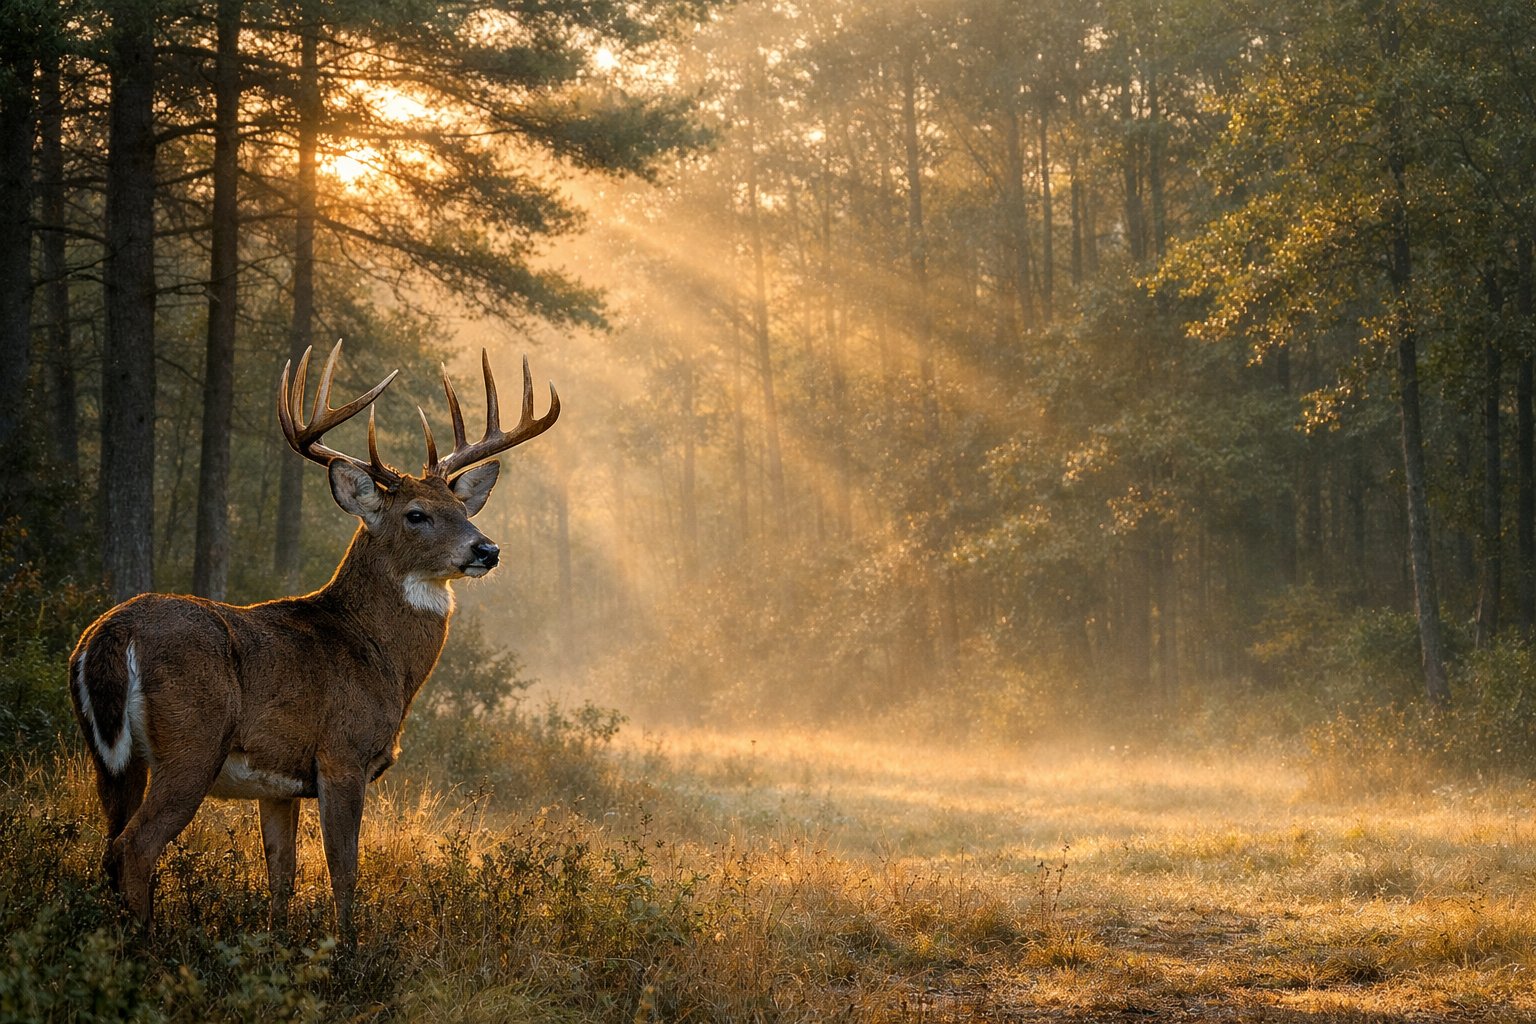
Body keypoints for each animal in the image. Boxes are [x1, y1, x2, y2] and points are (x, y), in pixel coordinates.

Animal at [68, 340, 558, 936]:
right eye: (416, 514)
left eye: (463, 508)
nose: (486, 549)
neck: (379, 657)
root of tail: (110, 634)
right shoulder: (342, 754)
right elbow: (343, 870)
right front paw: (346, 949)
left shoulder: (279, 782)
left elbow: (281, 873)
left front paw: (277, 942)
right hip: (191, 742)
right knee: (133, 849)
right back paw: (145, 941)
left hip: (110, 757)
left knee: (108, 846)